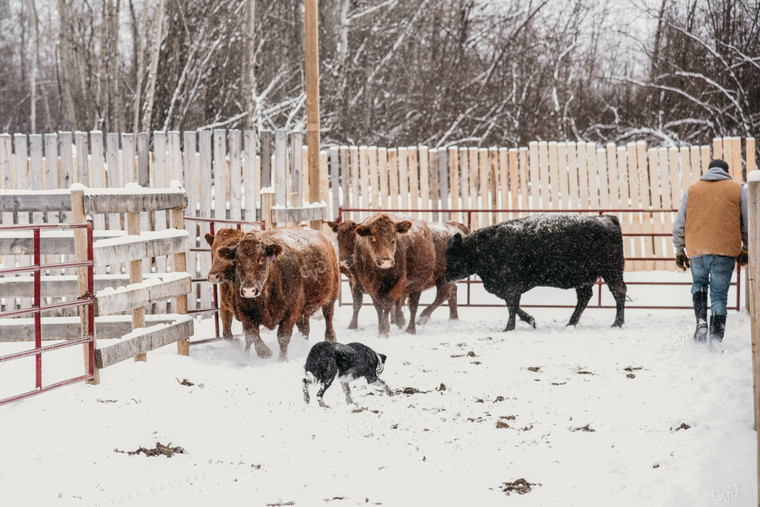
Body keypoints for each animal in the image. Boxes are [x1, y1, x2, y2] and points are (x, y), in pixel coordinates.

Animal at [218, 226, 340, 362]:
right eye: (237, 262)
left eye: (261, 260)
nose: (249, 290)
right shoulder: (245, 311)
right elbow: (251, 335)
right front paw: (261, 353)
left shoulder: (291, 311)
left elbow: (283, 337)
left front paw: (282, 359)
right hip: (303, 311)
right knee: (304, 328)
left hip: (331, 296)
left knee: (328, 318)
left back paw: (330, 339)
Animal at [442, 215, 628, 332]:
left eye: (452, 255)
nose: (445, 277)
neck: (483, 247)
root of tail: (607, 218)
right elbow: (514, 306)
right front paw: (530, 320)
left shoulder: (511, 286)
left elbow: (511, 305)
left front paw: (508, 328)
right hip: (584, 279)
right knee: (584, 297)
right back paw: (570, 324)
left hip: (611, 272)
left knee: (618, 292)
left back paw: (617, 324)